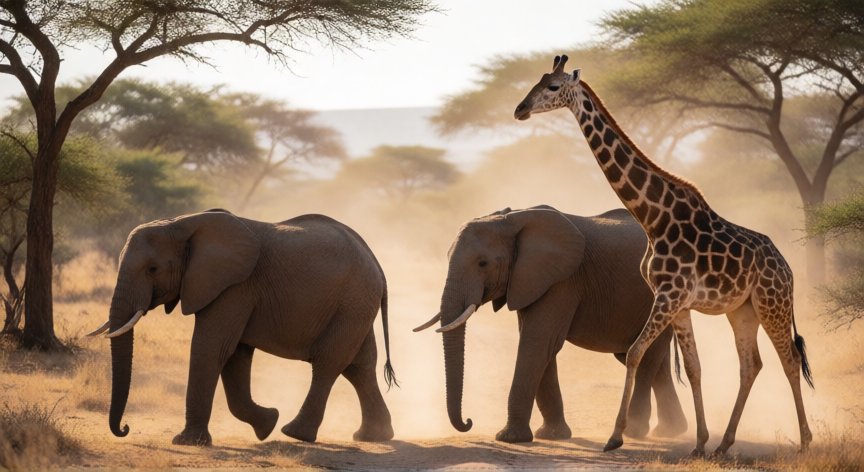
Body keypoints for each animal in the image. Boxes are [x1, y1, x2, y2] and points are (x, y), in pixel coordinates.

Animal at [88, 209, 397, 446]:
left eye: (152, 269)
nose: (125, 429)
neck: (183, 223)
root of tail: (378, 265)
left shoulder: (235, 287)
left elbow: (211, 348)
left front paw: (187, 442)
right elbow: (235, 354)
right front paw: (267, 423)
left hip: (353, 301)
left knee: (329, 363)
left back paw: (296, 434)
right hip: (356, 305)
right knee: (359, 366)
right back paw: (372, 437)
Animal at [415, 206, 688, 443]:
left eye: (483, 263)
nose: (469, 422)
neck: (514, 219)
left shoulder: (563, 280)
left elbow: (537, 342)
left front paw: (510, 438)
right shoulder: (530, 280)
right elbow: (541, 345)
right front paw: (553, 436)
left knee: (646, 358)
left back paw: (635, 432)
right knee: (648, 360)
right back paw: (671, 431)